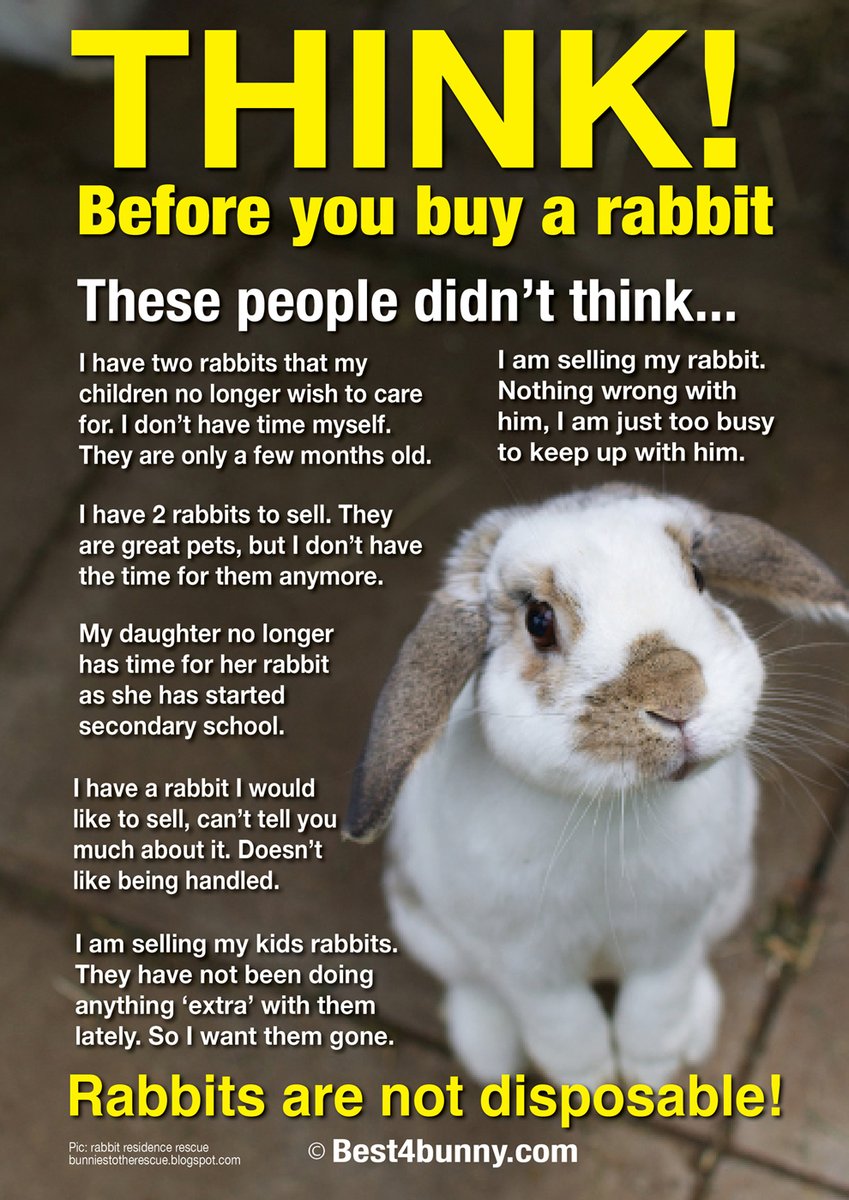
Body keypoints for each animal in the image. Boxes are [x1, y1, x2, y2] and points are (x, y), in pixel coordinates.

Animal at [344, 484, 849, 1089]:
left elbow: (656, 1007)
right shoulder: (529, 967)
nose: (678, 698)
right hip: (422, 923)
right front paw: (592, 1085)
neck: (617, 809)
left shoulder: (673, 941)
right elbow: (567, 1027)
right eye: (538, 620)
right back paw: (490, 1055)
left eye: (699, 575)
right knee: (471, 984)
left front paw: (651, 1075)